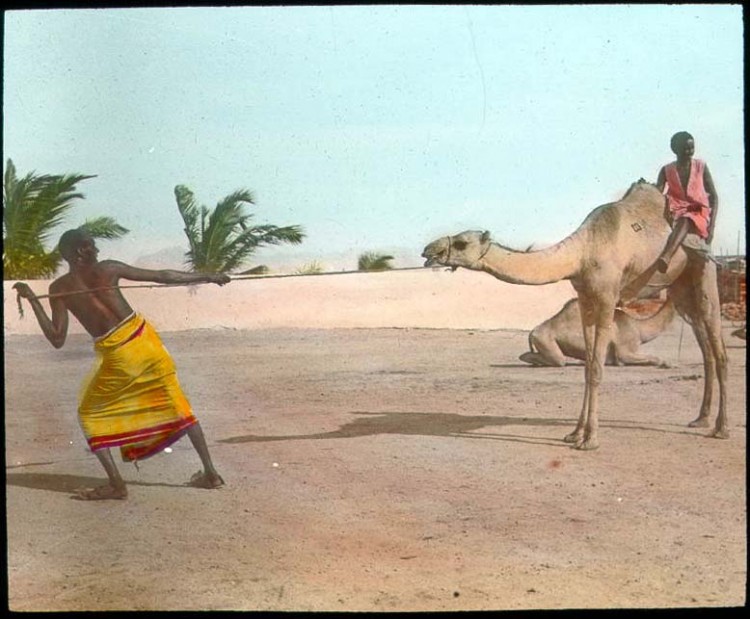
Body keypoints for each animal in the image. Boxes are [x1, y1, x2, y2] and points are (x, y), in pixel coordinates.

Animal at [524, 296, 676, 366]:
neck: (639, 327)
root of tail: (533, 332)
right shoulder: (625, 350)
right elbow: (655, 359)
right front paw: (666, 364)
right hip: (545, 339)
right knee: (559, 359)